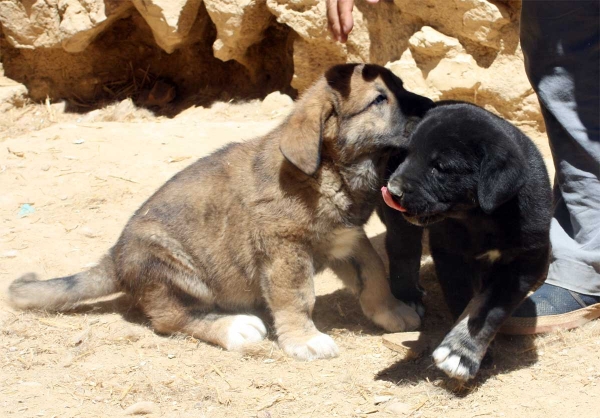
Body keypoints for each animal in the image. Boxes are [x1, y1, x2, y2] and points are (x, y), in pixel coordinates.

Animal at [7, 63, 434, 360]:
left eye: (400, 87)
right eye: (380, 100)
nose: (433, 108)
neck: (331, 171)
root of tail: (114, 258)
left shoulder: (347, 238)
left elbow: (374, 275)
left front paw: (392, 312)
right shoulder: (285, 251)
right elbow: (298, 298)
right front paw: (306, 340)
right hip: (172, 266)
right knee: (170, 319)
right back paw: (234, 328)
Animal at [380, 101, 552, 378]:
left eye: (440, 167)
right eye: (409, 155)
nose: (392, 191)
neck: (484, 218)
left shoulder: (527, 260)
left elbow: (489, 308)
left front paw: (461, 352)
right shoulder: (450, 255)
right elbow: (461, 298)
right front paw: (465, 351)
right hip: (400, 225)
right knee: (402, 250)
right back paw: (408, 295)